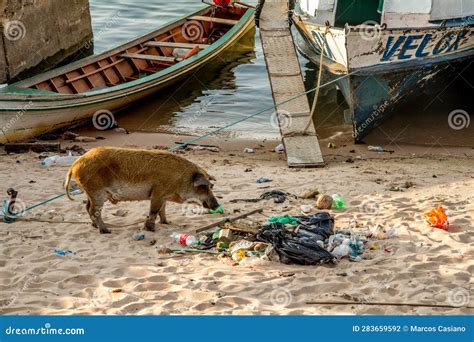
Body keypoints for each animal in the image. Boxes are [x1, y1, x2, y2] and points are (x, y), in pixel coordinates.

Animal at [64, 146, 219, 234]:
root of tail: (74, 165)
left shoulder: (163, 195)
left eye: (210, 186)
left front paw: (167, 223)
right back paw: (106, 231)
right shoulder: (158, 193)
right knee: (93, 210)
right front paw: (151, 230)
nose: (217, 205)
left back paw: (95, 226)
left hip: (90, 192)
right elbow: (154, 211)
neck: (180, 179)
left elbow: (163, 210)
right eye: (204, 187)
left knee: (87, 207)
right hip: (96, 192)